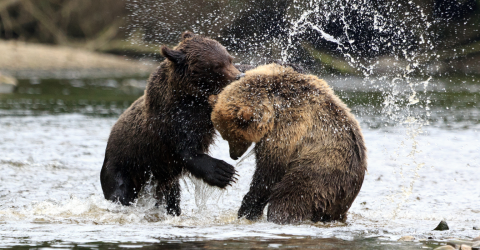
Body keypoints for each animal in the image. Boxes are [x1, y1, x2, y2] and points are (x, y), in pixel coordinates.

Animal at [101, 31, 244, 215]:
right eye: (216, 65)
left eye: (230, 59)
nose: (239, 76)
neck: (190, 97)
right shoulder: (171, 124)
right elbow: (187, 152)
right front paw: (225, 172)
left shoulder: (203, 113)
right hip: (125, 167)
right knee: (120, 193)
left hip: (163, 179)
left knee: (171, 196)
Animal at [210, 63, 368, 225]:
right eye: (225, 136)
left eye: (233, 137)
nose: (233, 156)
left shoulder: (288, 126)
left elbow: (269, 172)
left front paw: (247, 208)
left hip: (321, 171)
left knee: (290, 198)